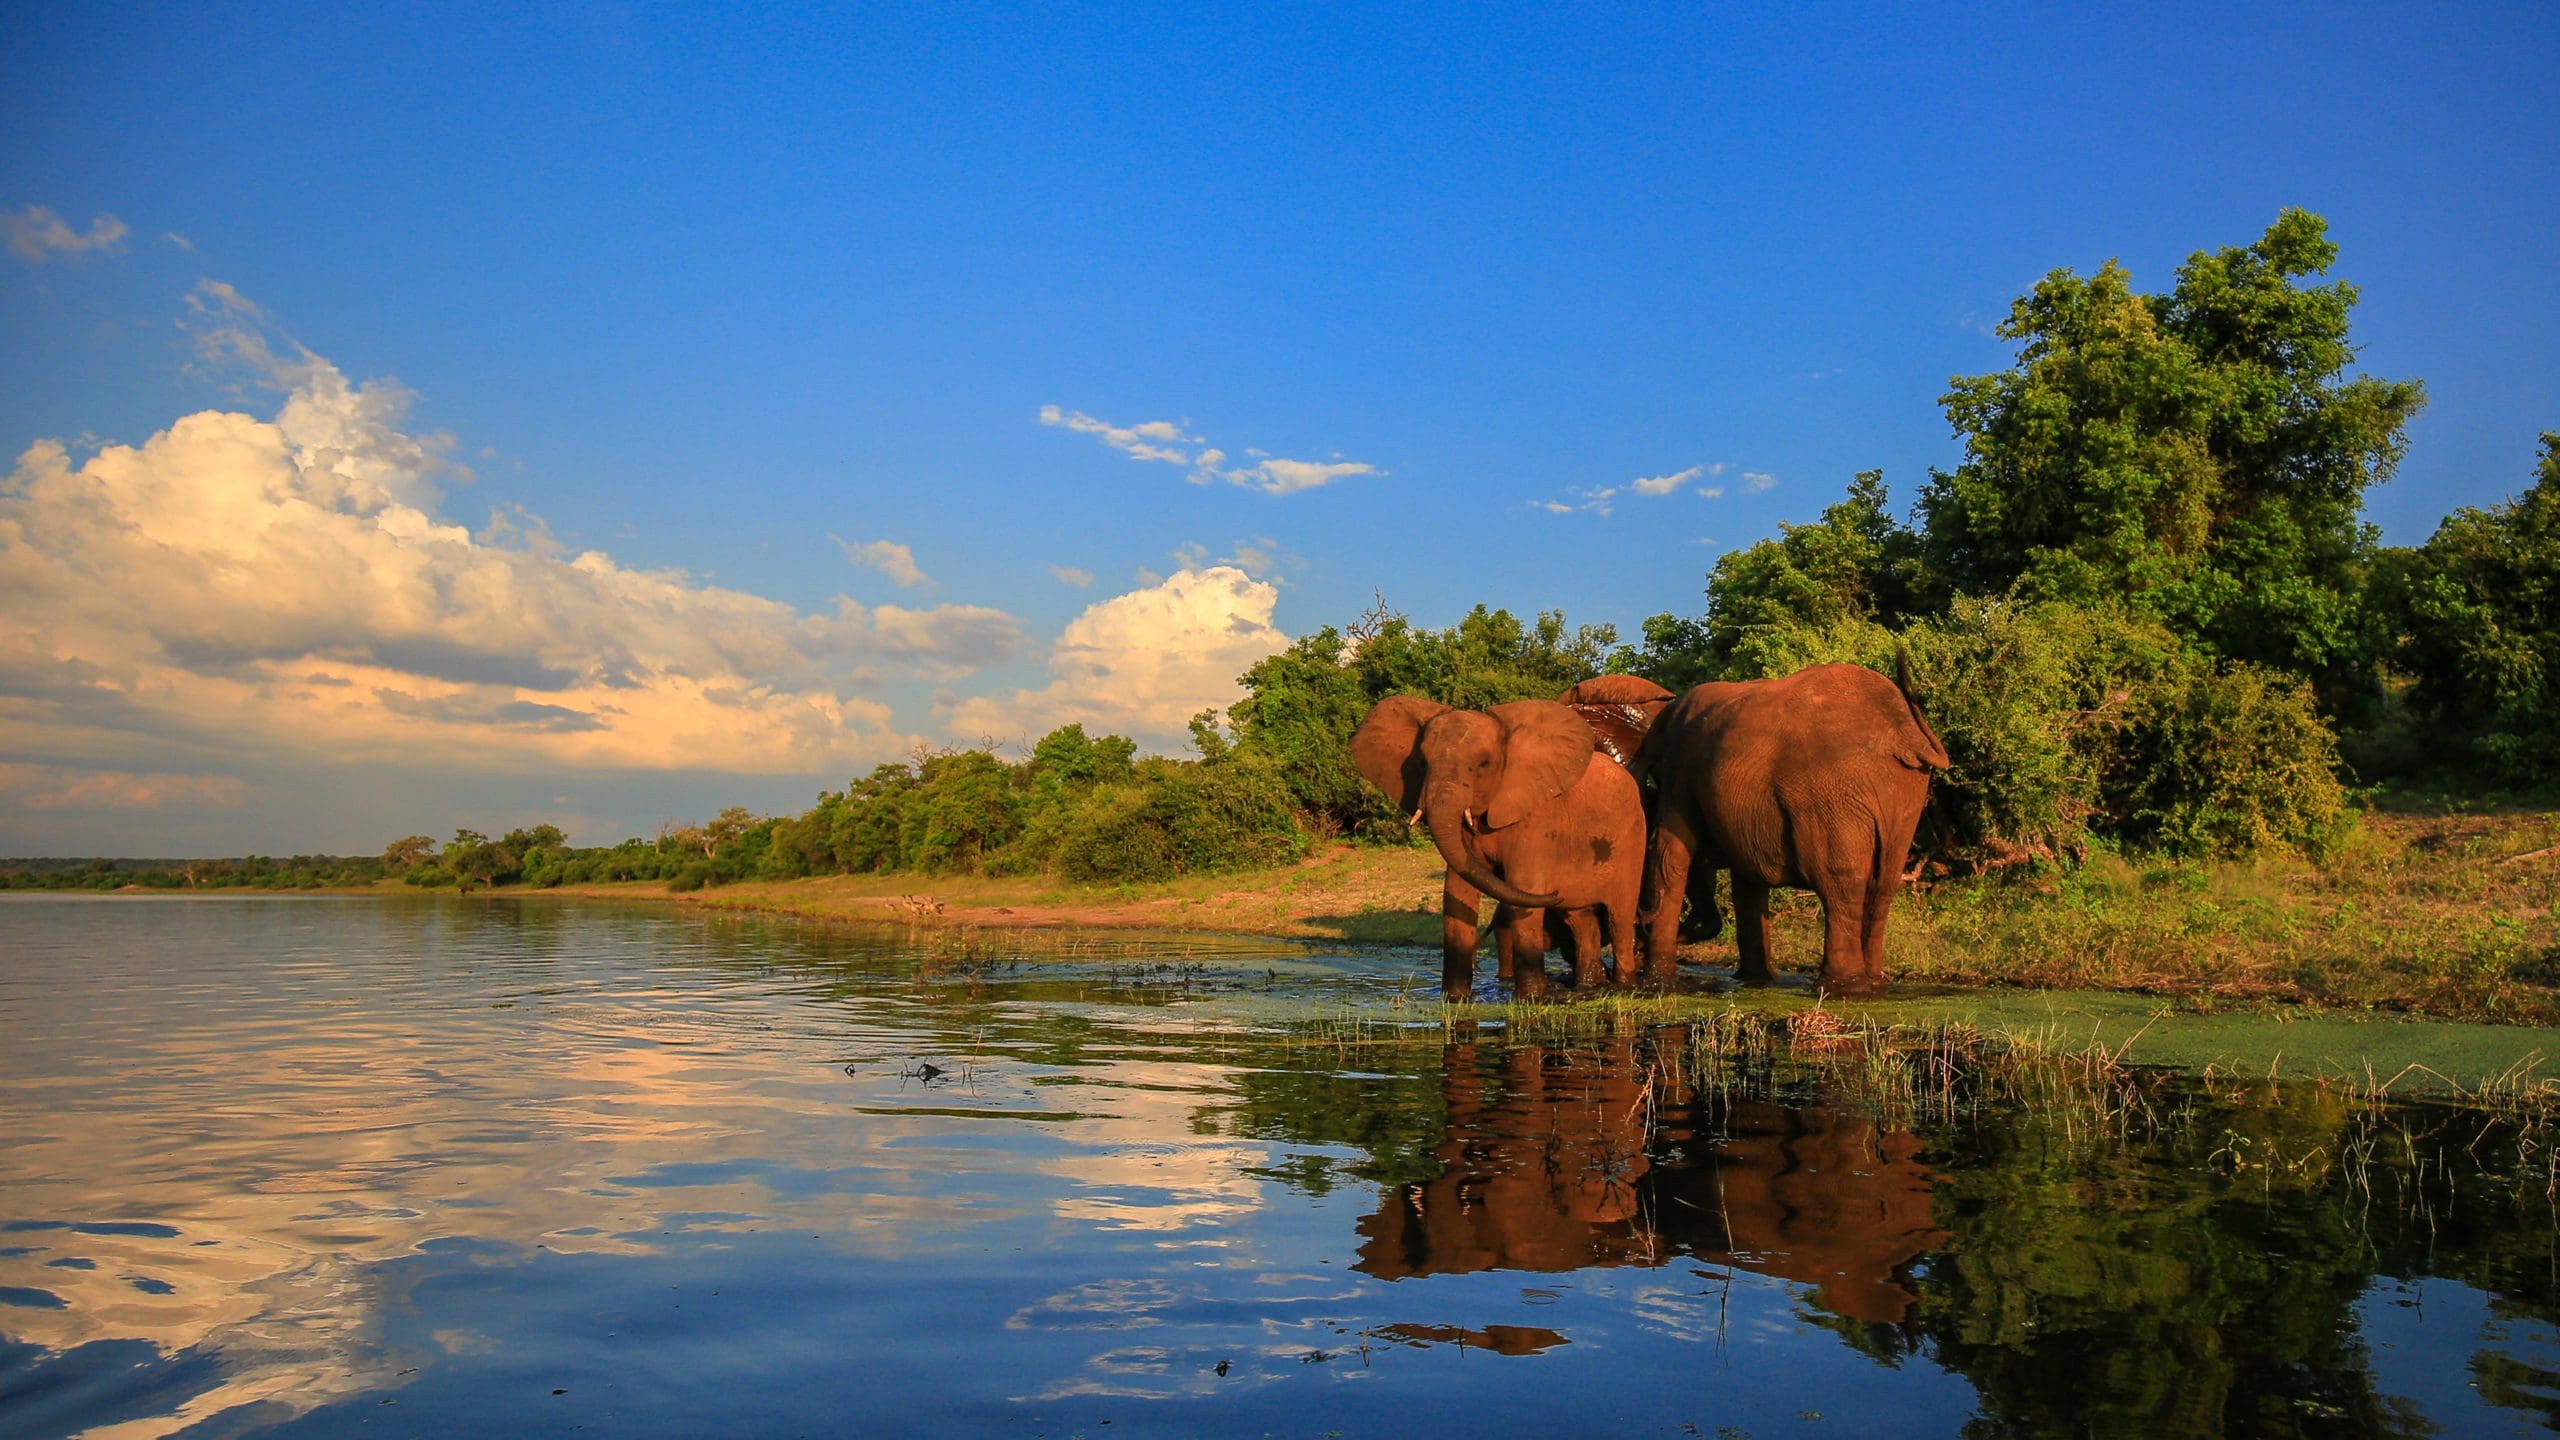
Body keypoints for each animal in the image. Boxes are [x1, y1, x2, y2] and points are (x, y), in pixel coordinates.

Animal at [1351, 696, 1648, 999]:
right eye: (1422, 762)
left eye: (1484, 764)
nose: (1554, 890)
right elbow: (1457, 892)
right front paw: (1455, 1000)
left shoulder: (1537, 820)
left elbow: (1523, 887)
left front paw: (1532, 999)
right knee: (1581, 919)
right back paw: (1590, 985)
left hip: (1633, 839)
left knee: (1619, 918)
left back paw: (1623, 986)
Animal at [1628, 655, 1945, 994]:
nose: (1640, 932)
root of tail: (1902, 732)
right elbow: (1747, 878)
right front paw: (1754, 981)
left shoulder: (1681, 768)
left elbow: (1669, 855)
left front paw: (1657, 983)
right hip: (1903, 792)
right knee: (1883, 883)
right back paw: (1871, 983)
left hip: (1831, 791)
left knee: (1839, 882)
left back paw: (1840, 987)